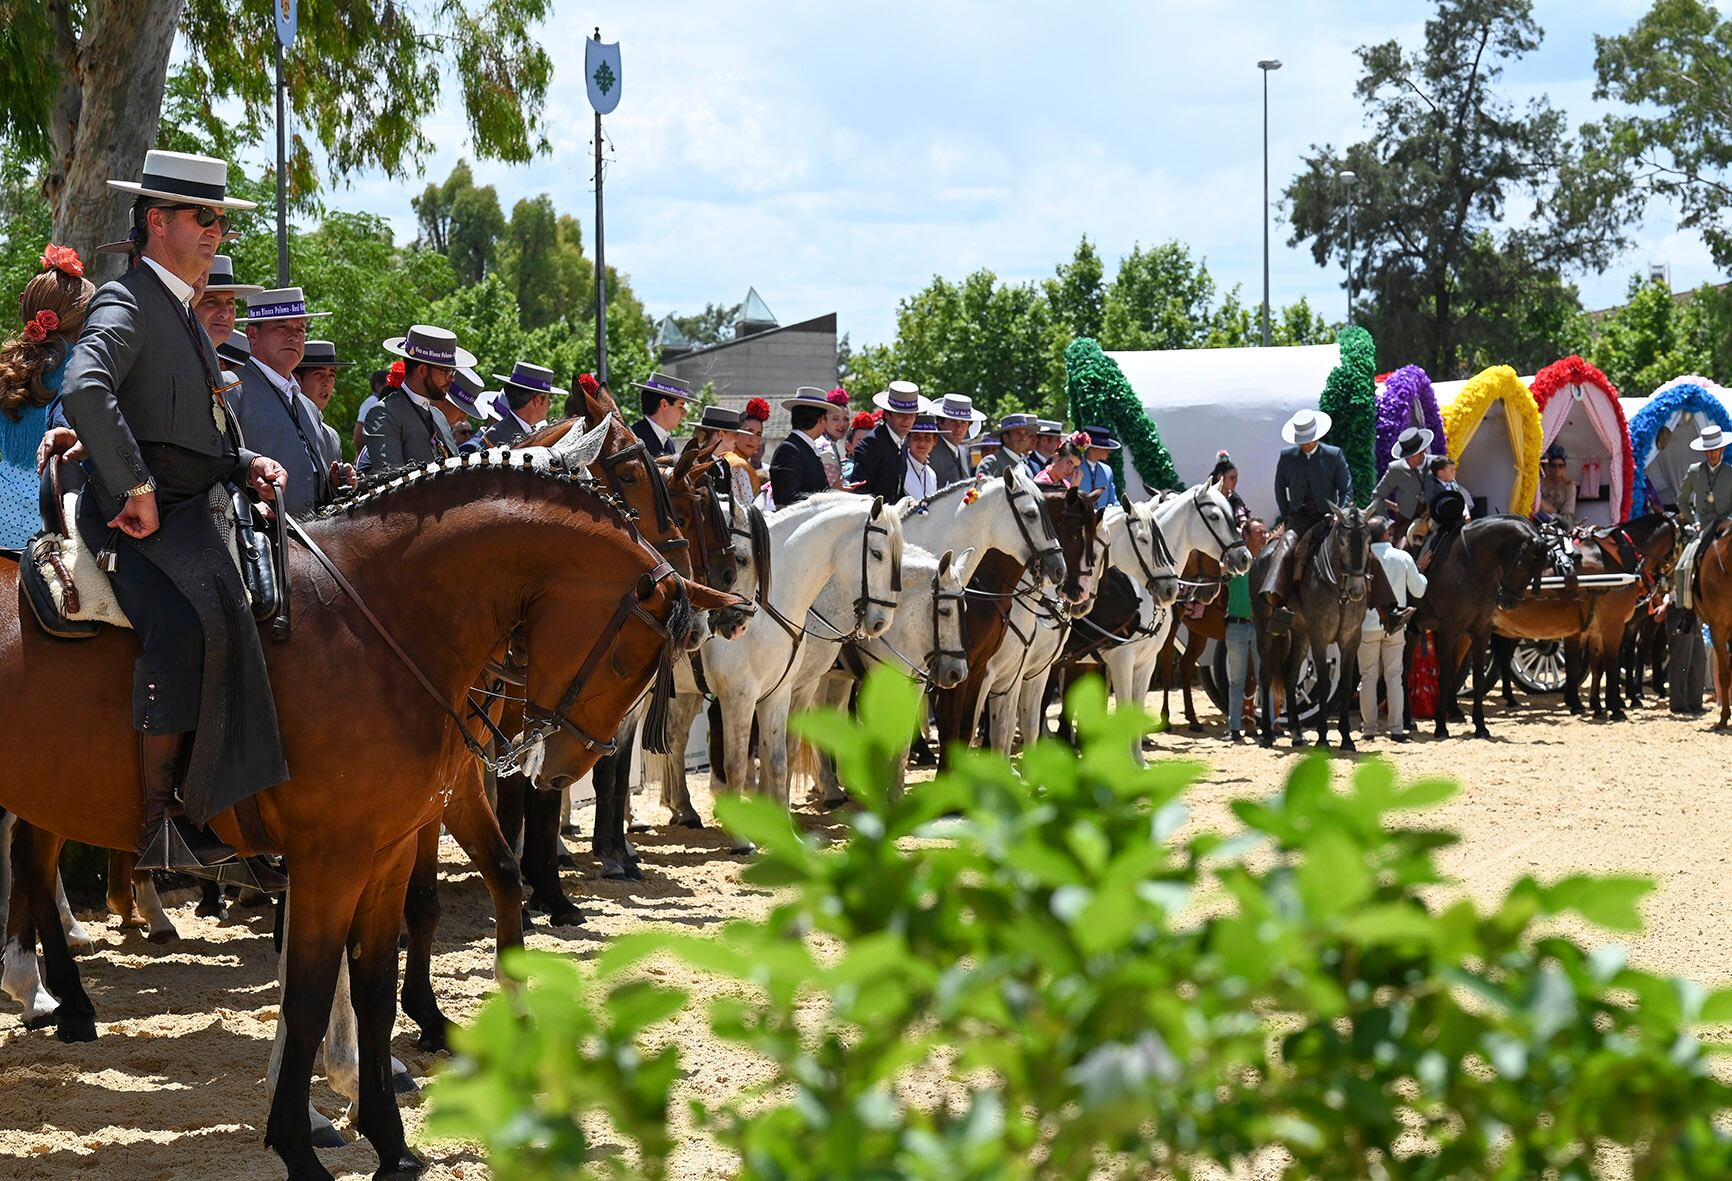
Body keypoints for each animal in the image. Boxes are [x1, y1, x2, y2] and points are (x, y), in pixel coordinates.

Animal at [0, 457, 730, 1177]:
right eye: (629, 657)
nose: (561, 766)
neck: (380, 620)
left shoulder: (390, 847)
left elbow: (377, 984)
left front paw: (392, 1141)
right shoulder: (332, 858)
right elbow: (309, 992)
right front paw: (300, 1144)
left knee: (30, 860)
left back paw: (58, 996)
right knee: (33, 861)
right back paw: (62, 995)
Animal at [703, 488, 907, 838]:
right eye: (877, 553)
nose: (882, 622)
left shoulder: (781, 692)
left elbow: (778, 758)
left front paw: (781, 827)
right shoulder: (738, 695)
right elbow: (738, 763)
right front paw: (744, 835)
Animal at [1253, 502, 1371, 744]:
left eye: (1367, 541)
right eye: (1342, 541)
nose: (1356, 590)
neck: (1339, 591)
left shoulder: (1351, 639)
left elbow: (1346, 685)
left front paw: (1346, 738)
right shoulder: (1320, 637)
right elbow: (1325, 684)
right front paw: (1323, 736)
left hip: (1301, 635)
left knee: (1290, 677)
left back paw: (1297, 732)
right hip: (1264, 630)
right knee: (1265, 675)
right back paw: (1268, 734)